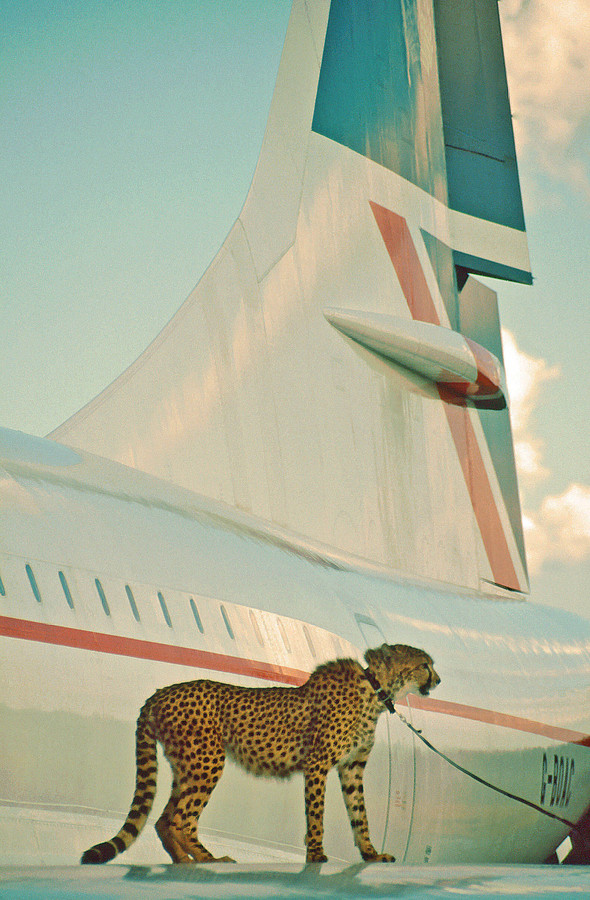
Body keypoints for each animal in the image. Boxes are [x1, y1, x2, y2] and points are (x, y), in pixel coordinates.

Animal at [81, 642, 440, 865]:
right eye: (425, 665)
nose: (437, 679)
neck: (376, 690)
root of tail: (160, 693)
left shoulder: (352, 766)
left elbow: (359, 814)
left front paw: (371, 854)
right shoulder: (318, 763)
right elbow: (317, 813)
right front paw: (316, 853)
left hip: (187, 765)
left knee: (164, 819)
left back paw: (185, 861)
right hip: (207, 761)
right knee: (181, 818)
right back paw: (210, 859)